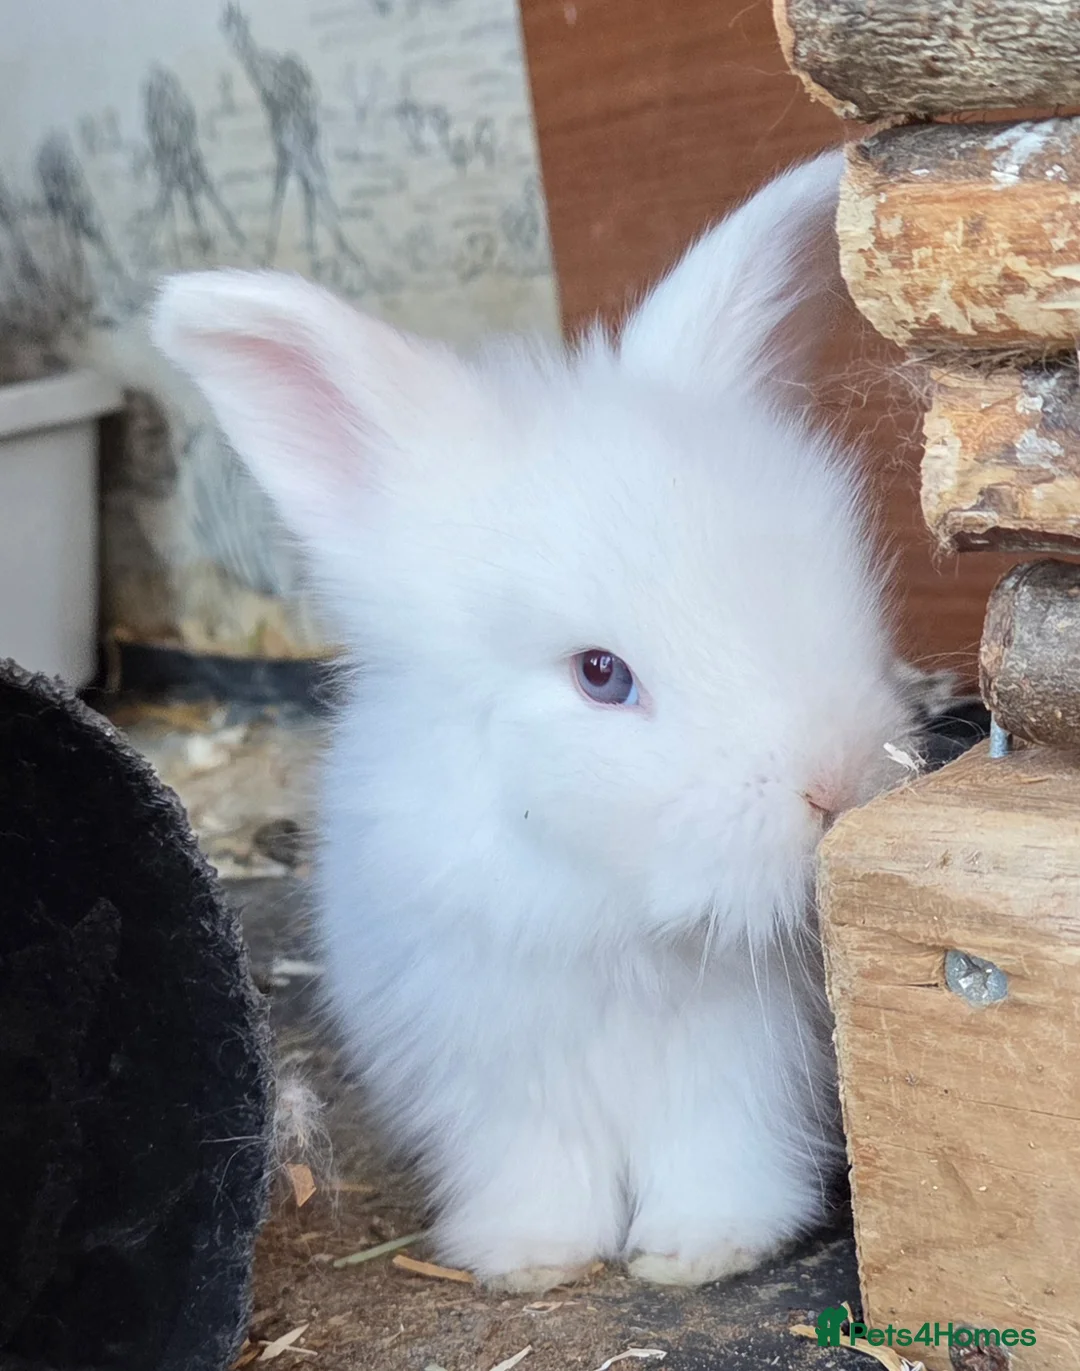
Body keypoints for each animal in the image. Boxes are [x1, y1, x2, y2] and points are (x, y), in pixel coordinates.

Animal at [151, 149, 918, 1294]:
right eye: (601, 675)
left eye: (835, 592)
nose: (832, 784)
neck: (615, 915)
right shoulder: (495, 1076)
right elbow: (537, 1166)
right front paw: (529, 1259)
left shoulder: (742, 1070)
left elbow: (719, 1153)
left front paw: (699, 1250)